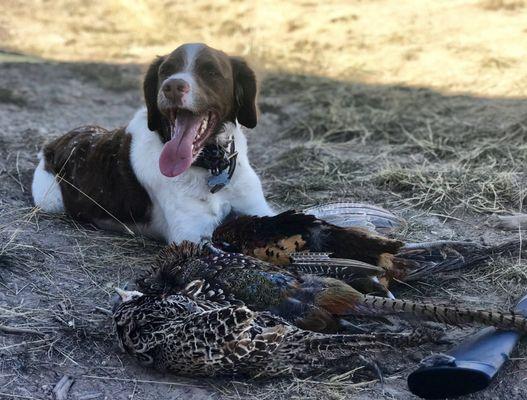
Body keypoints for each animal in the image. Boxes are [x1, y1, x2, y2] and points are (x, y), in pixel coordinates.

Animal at [31, 43, 274, 244]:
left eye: (211, 71)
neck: (211, 166)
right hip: (51, 200)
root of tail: (53, 143)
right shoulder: (192, 235)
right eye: (165, 71)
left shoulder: (259, 209)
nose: (172, 86)